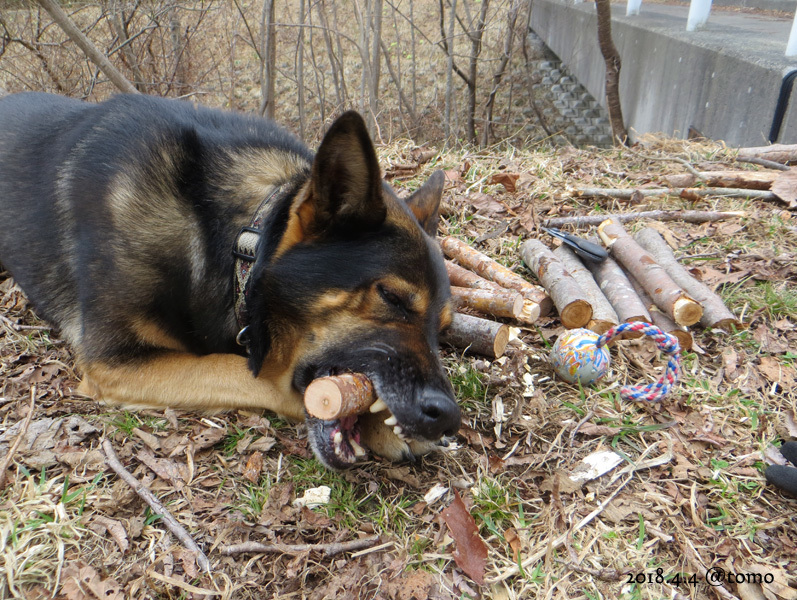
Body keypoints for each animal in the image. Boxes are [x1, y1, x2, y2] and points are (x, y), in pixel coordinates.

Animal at [0, 92, 460, 468]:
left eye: (442, 329)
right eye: (392, 297)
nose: (449, 418)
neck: (237, 240)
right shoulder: (113, 362)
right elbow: (254, 375)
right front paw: (376, 422)